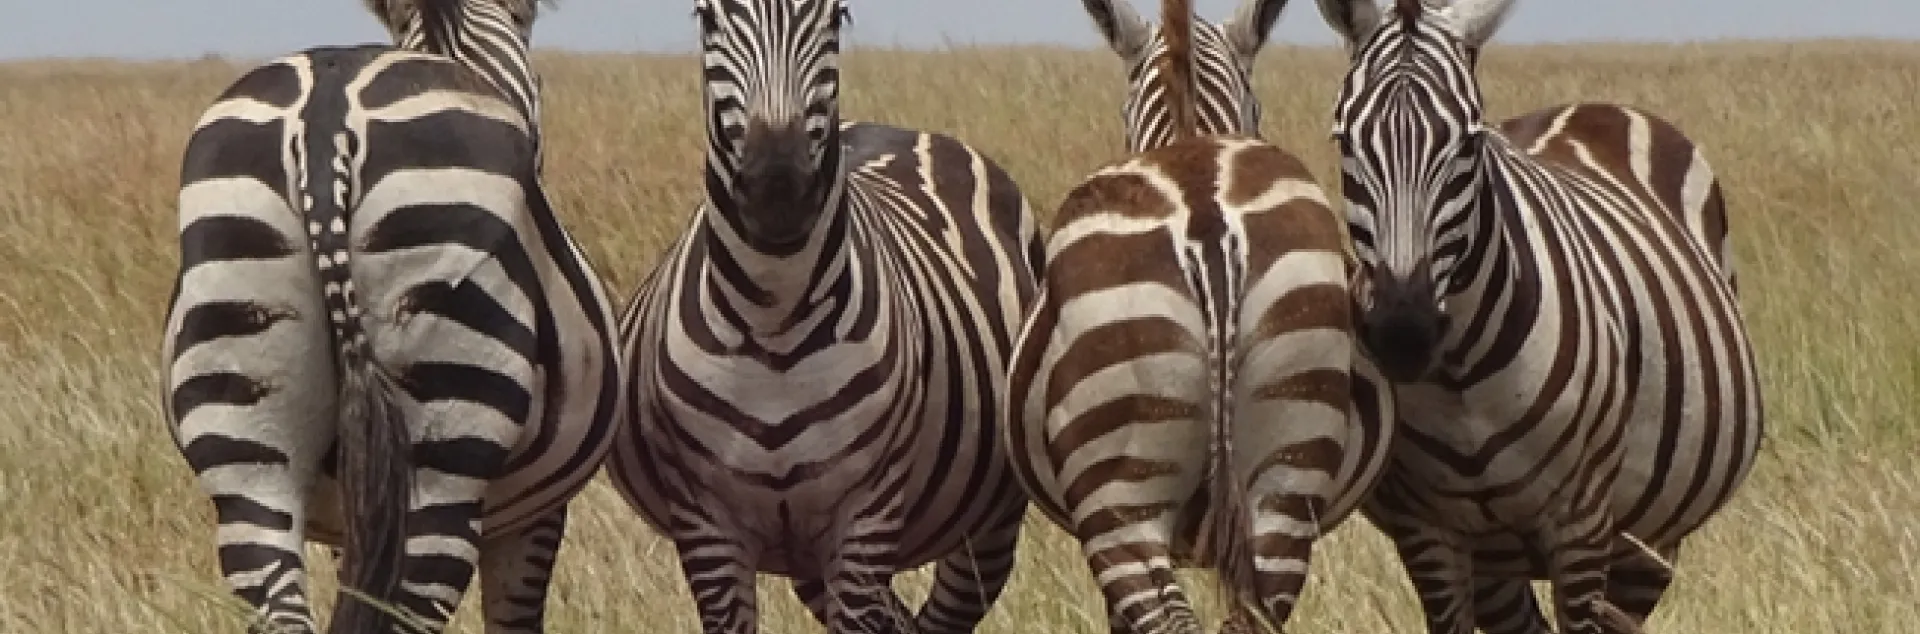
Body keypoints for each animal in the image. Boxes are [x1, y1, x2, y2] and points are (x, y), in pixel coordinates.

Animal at [602, 1, 1042, 633]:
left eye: (837, 16)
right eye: (707, 17)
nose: (776, 188)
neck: (774, 322)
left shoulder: (864, 517)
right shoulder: (708, 527)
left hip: (987, 521)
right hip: (807, 555)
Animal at [1311, 0, 1765, 632]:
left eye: (1469, 144)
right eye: (1344, 141)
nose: (1403, 333)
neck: (1461, 381)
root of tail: (1594, 106)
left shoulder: (1580, 524)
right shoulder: (1427, 532)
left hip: (1650, 540)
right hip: (1497, 558)